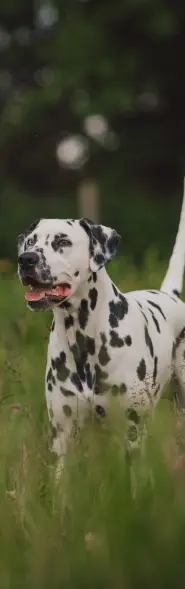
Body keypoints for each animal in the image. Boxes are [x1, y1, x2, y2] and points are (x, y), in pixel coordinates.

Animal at [17, 181, 185, 470]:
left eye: (63, 241)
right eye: (31, 241)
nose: (26, 259)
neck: (83, 337)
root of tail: (169, 296)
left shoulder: (132, 432)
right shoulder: (63, 437)